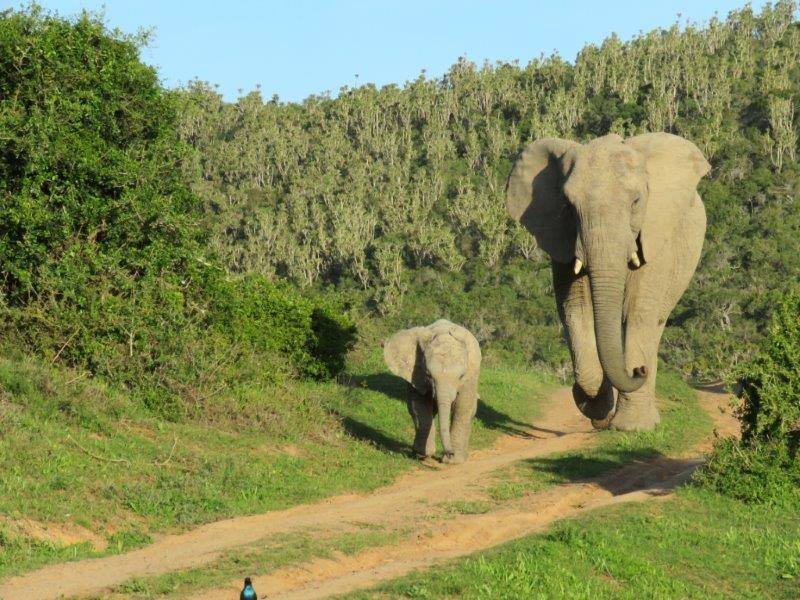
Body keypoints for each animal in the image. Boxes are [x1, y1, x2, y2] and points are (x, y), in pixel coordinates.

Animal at [382, 318, 482, 464]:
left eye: (461, 376)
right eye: (428, 374)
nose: (448, 454)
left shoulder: (470, 378)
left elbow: (463, 408)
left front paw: (454, 461)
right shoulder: (416, 374)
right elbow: (417, 406)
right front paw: (423, 454)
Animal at [510, 133, 708, 428]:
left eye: (636, 201)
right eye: (569, 207)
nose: (638, 370)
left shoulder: (656, 236)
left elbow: (638, 312)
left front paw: (632, 428)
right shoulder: (562, 238)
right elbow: (575, 309)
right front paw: (594, 406)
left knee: (654, 322)